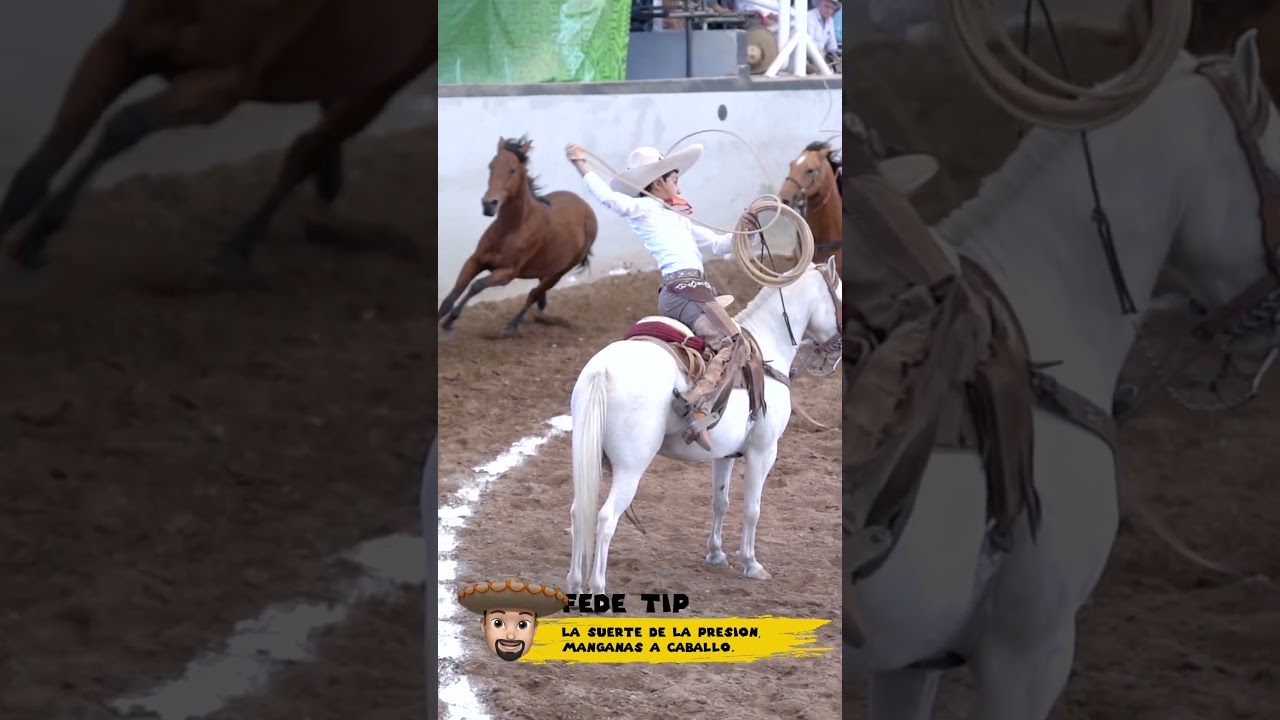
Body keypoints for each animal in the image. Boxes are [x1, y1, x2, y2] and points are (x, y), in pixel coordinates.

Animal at [0, 0, 433, 279]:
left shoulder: (221, 86)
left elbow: (124, 125)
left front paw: (41, 234)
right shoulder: (119, 45)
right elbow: (58, 141)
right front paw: (18, 225)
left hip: (382, 84)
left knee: (303, 153)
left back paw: (237, 251)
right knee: (319, 138)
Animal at [438, 135, 599, 338]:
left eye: (512, 170)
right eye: (491, 166)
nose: (489, 204)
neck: (511, 229)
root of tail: (588, 209)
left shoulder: (508, 272)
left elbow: (476, 285)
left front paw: (450, 321)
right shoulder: (475, 260)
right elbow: (455, 291)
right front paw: (443, 317)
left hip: (559, 272)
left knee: (533, 294)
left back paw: (512, 325)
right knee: (539, 295)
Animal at [565, 257, 843, 595]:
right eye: (841, 297)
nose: (838, 350)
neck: (768, 351)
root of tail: (602, 371)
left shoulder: (724, 455)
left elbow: (720, 501)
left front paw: (716, 554)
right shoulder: (764, 451)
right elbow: (752, 508)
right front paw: (751, 563)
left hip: (589, 457)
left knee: (579, 511)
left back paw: (576, 584)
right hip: (630, 468)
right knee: (606, 518)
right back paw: (597, 587)